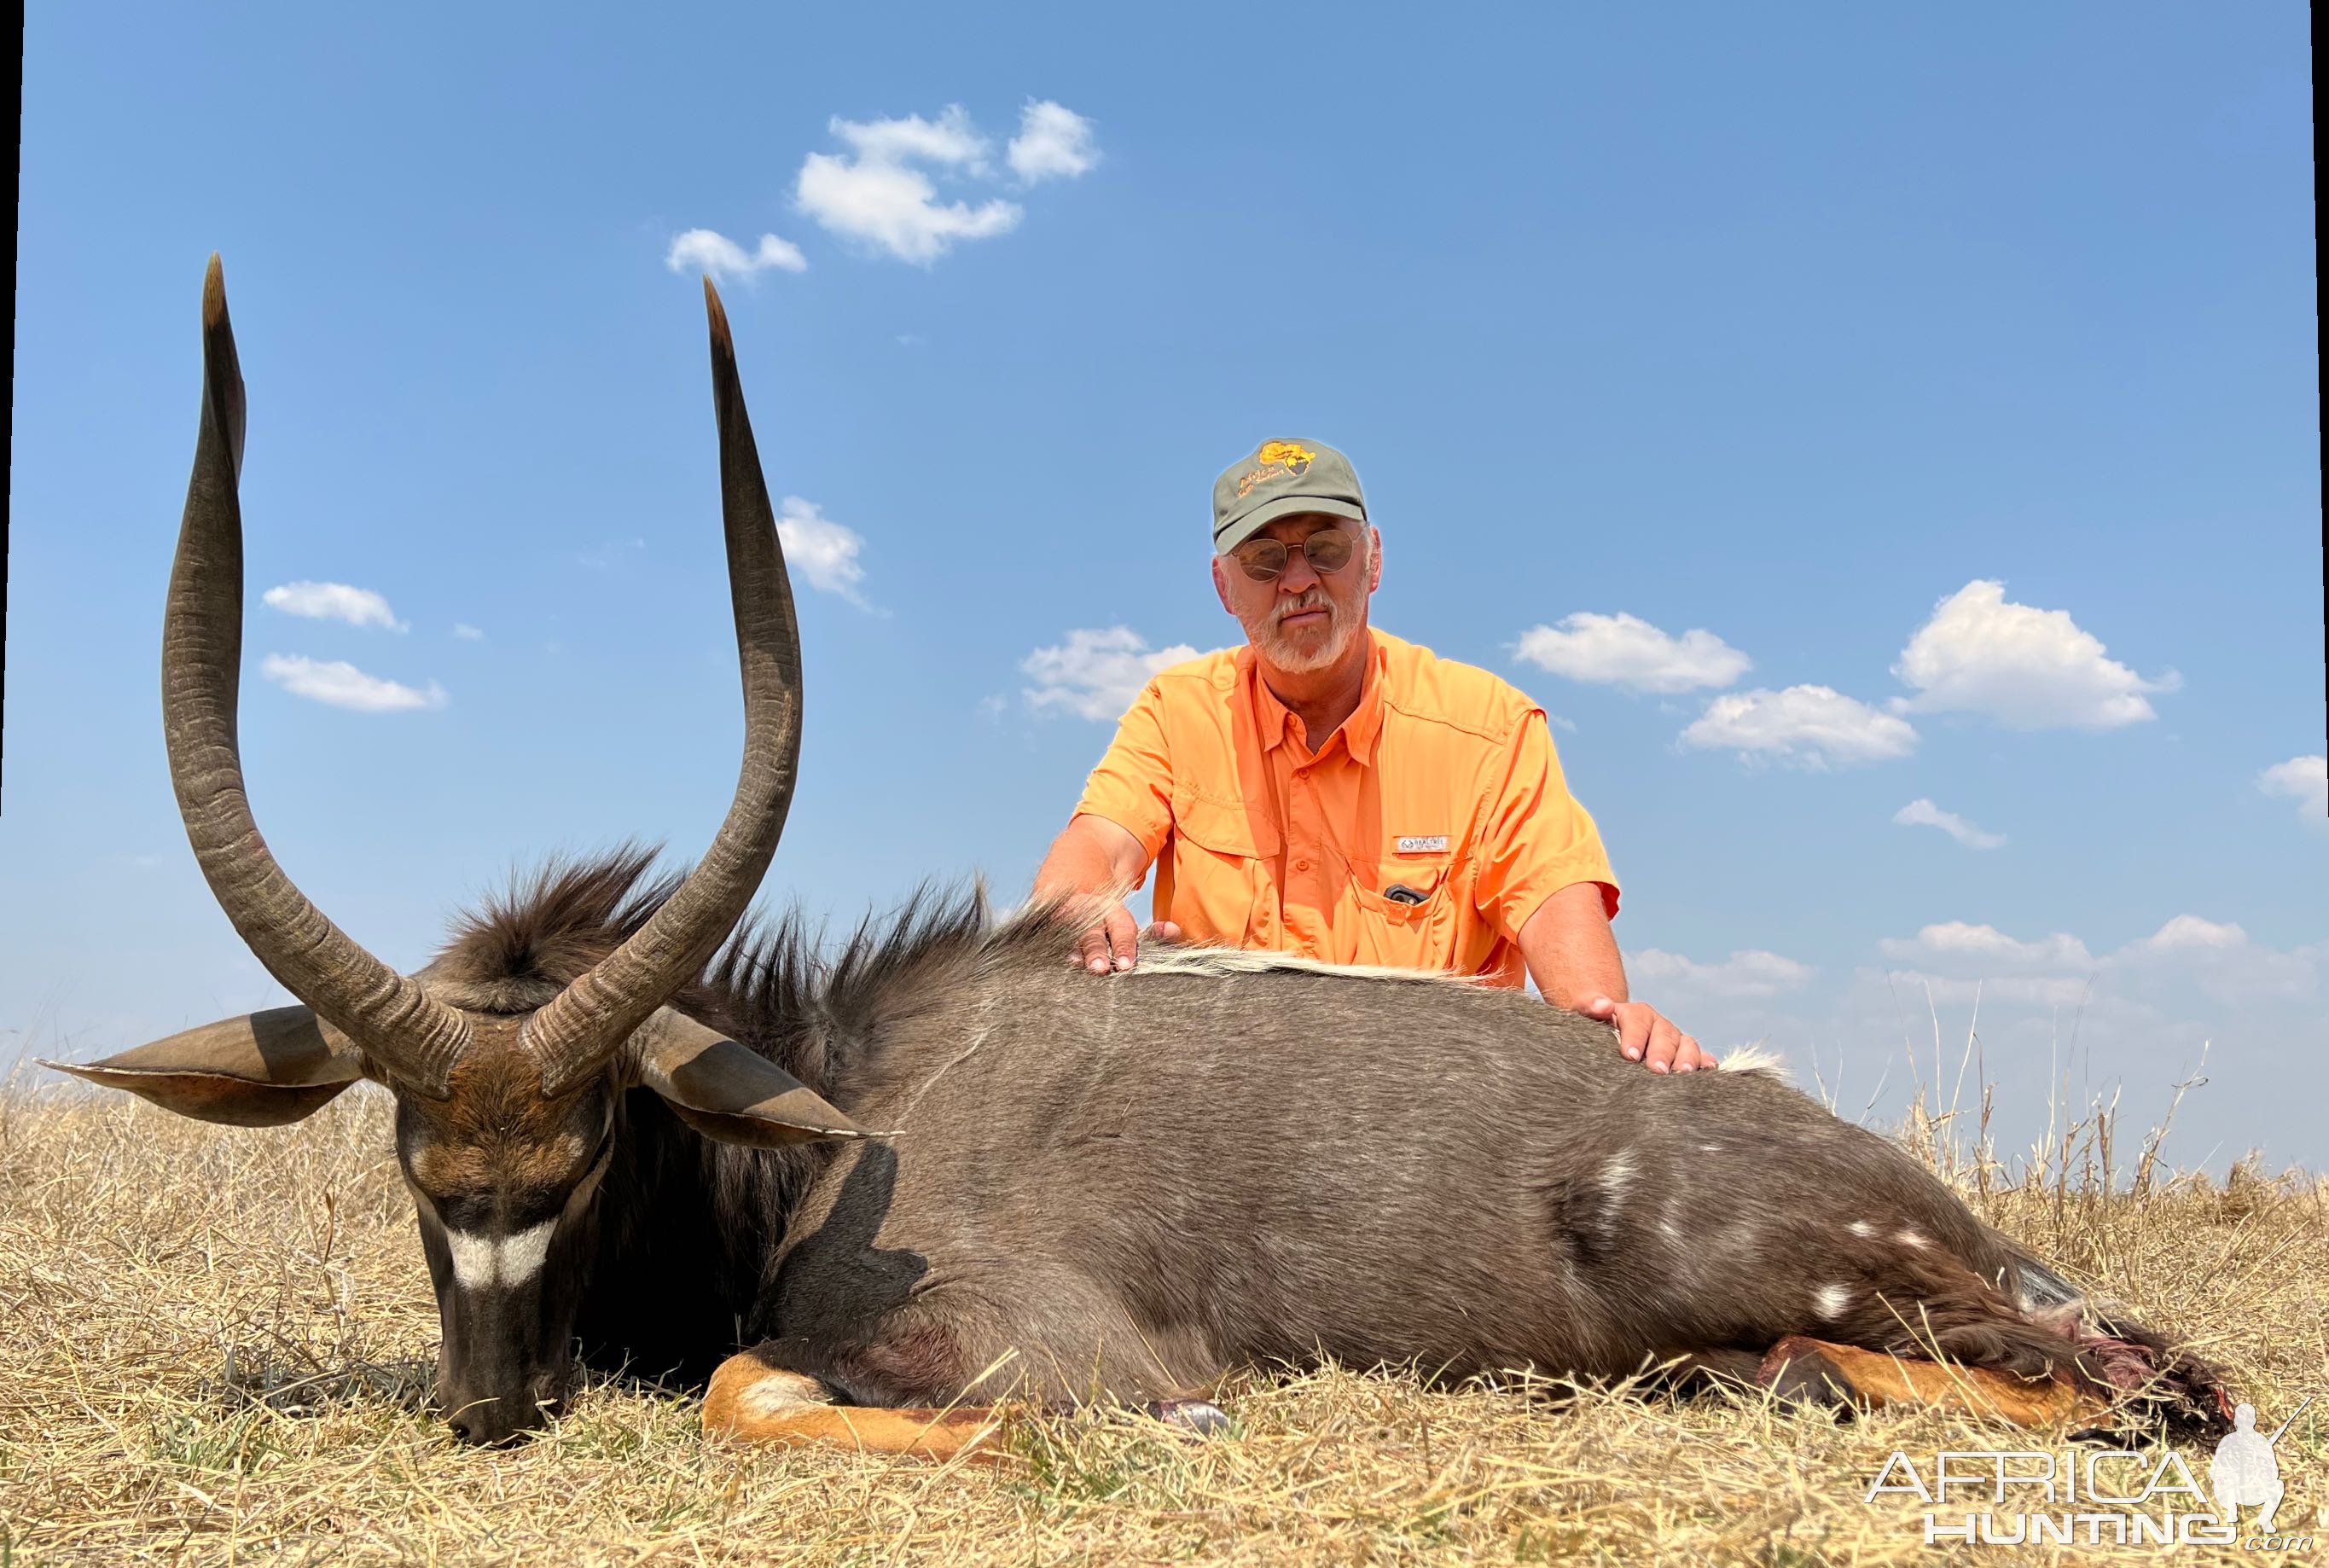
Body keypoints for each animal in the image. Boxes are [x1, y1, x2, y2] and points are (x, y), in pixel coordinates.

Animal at [45, 256, 2226, 1444]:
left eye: (587, 1148)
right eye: (411, 1162)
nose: (494, 1399)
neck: (837, 1111)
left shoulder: (1030, 1350)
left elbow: (771, 1388)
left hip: (1881, 1300)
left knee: (2129, 1375)